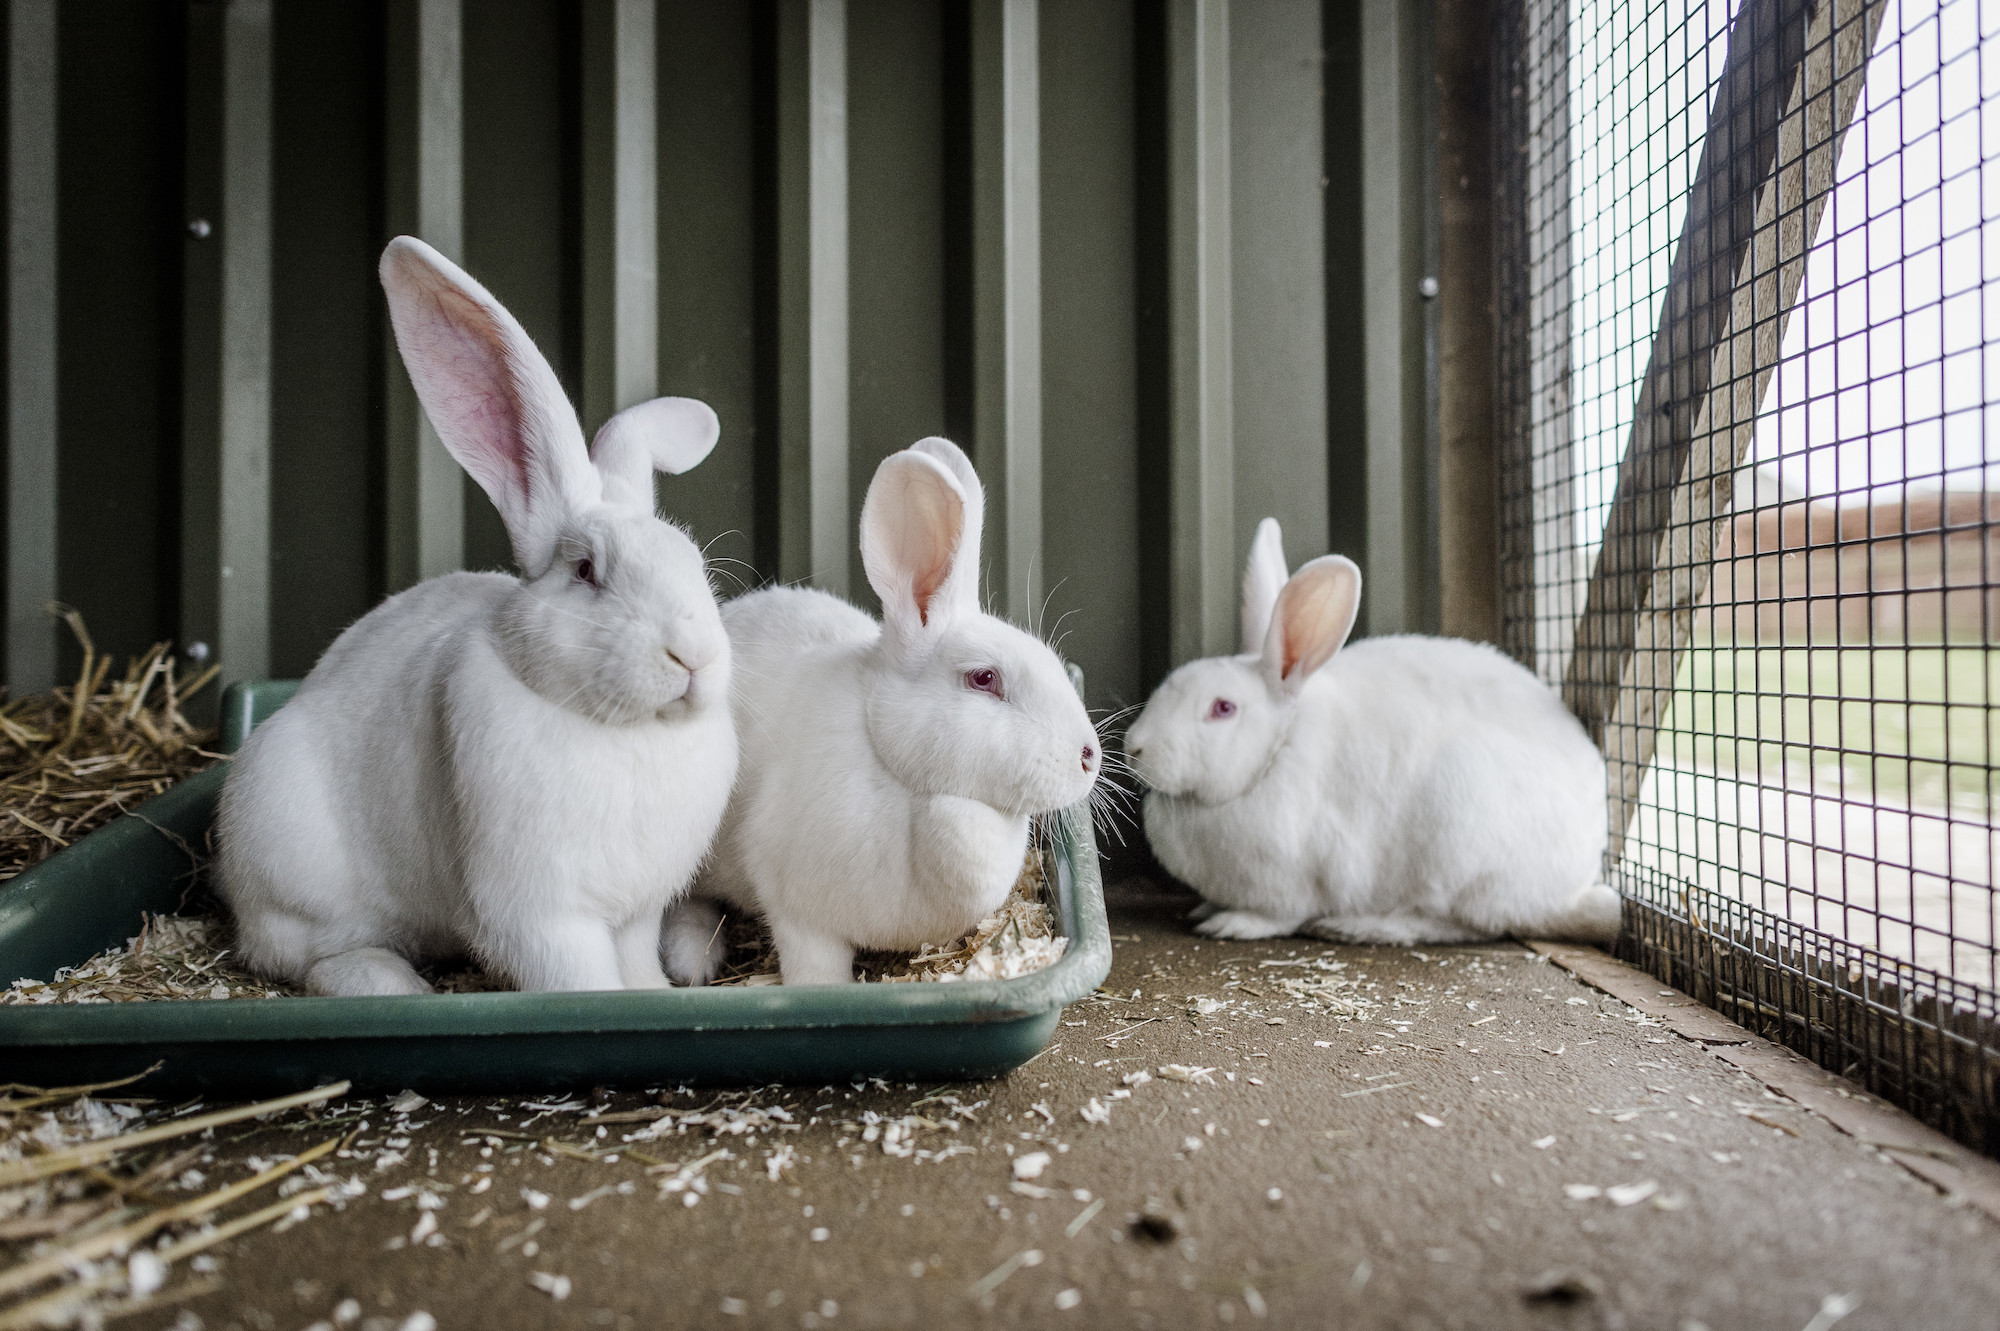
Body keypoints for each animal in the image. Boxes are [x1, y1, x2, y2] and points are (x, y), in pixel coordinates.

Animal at [213, 232, 744, 991]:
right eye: (587, 571)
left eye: (695, 565)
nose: (692, 655)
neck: (623, 732)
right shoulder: (541, 918)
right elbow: (583, 981)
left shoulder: (635, 913)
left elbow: (636, 965)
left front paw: (655, 994)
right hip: (293, 874)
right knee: (308, 956)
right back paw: (389, 982)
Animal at [668, 437, 1112, 983]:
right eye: (984, 679)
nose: (1090, 757)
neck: (910, 784)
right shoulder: (800, 914)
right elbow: (814, 970)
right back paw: (693, 959)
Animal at [1128, 515, 1624, 943]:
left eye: (1223, 708)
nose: (1135, 748)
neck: (1275, 751)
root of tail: (1574, 879)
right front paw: (1205, 909)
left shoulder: (1291, 881)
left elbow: (1277, 915)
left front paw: (1230, 924)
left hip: (1459, 850)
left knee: (1460, 924)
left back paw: (1357, 927)